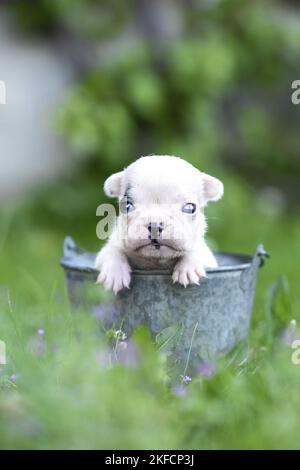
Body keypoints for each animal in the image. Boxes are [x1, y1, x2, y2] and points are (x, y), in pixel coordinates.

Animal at [95, 156, 224, 292]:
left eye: (190, 208)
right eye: (127, 205)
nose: (155, 226)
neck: (156, 260)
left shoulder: (207, 255)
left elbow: (196, 250)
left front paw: (189, 268)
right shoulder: (113, 243)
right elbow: (112, 250)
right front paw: (114, 272)